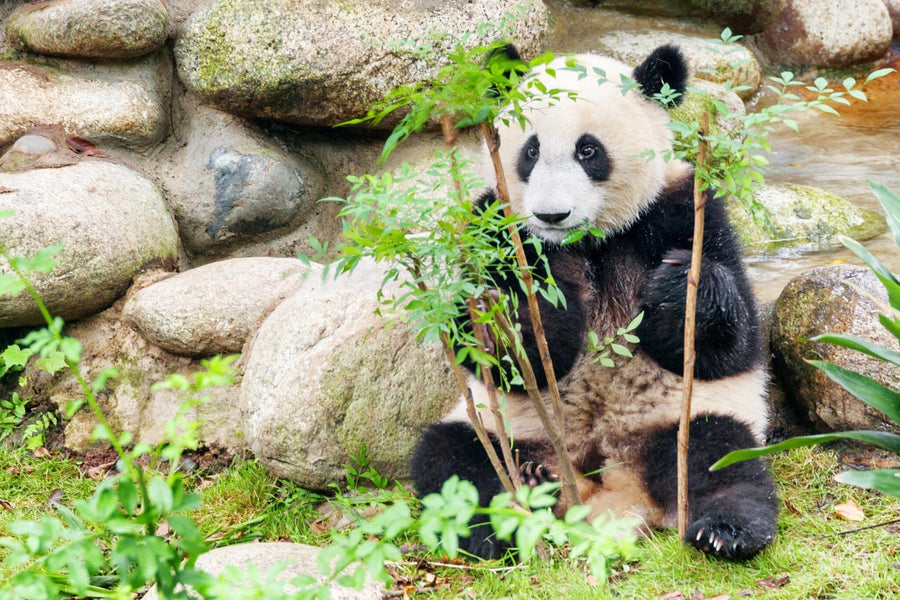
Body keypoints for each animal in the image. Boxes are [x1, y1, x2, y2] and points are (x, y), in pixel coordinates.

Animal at [411, 45, 778, 560]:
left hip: (682, 417)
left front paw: (679, 285)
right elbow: (511, 357)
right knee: (453, 460)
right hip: (507, 428)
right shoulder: (495, 230)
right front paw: (509, 314)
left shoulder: (683, 210)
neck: (588, 243)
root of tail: (608, 493)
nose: (551, 215)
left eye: (588, 151)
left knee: (721, 456)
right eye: (531, 151)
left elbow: (728, 348)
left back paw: (725, 530)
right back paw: (509, 512)